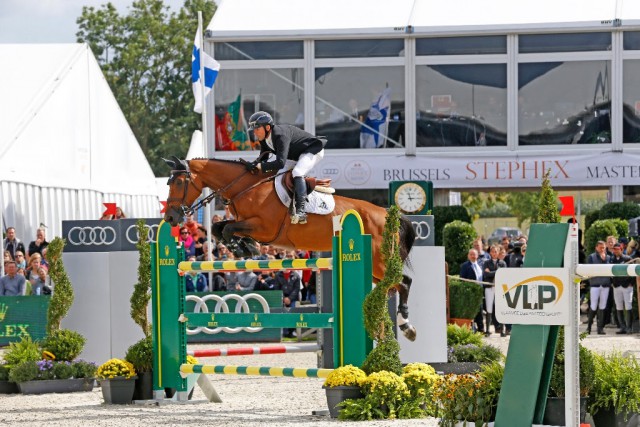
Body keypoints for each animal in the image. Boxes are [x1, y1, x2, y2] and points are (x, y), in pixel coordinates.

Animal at [162, 157, 418, 342]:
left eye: (179, 183)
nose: (170, 218)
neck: (245, 188)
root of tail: (387, 214)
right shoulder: (245, 223)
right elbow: (219, 228)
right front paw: (244, 248)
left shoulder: (264, 228)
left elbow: (227, 229)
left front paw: (245, 248)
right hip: (374, 268)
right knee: (392, 287)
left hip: (379, 260)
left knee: (403, 282)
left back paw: (406, 326)